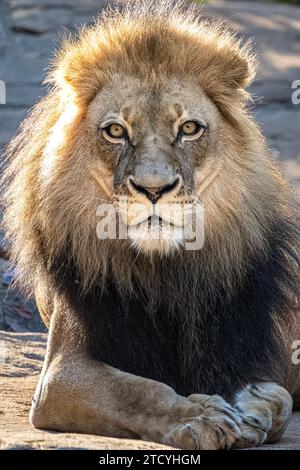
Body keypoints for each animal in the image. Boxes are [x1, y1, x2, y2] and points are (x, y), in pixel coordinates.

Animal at [1, 0, 300, 450]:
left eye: (189, 128)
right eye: (116, 131)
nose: (154, 189)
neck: (164, 271)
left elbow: (278, 396)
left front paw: (253, 406)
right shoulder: (61, 374)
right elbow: (135, 390)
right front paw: (199, 417)